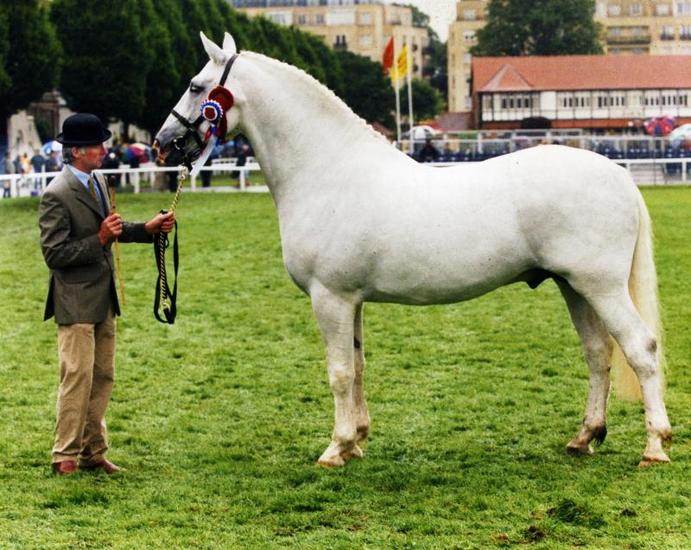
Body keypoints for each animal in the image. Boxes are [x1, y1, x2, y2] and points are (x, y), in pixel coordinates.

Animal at [154, 32, 671, 468]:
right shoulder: (350, 301)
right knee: (598, 353)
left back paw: (654, 446)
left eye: (197, 86)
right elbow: (358, 367)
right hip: (573, 286)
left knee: (640, 349)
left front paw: (336, 448)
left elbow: (338, 372)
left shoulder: (329, 298)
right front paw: (358, 440)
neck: (328, 171)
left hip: (601, 287)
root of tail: (620, 175)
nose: (161, 144)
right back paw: (584, 437)